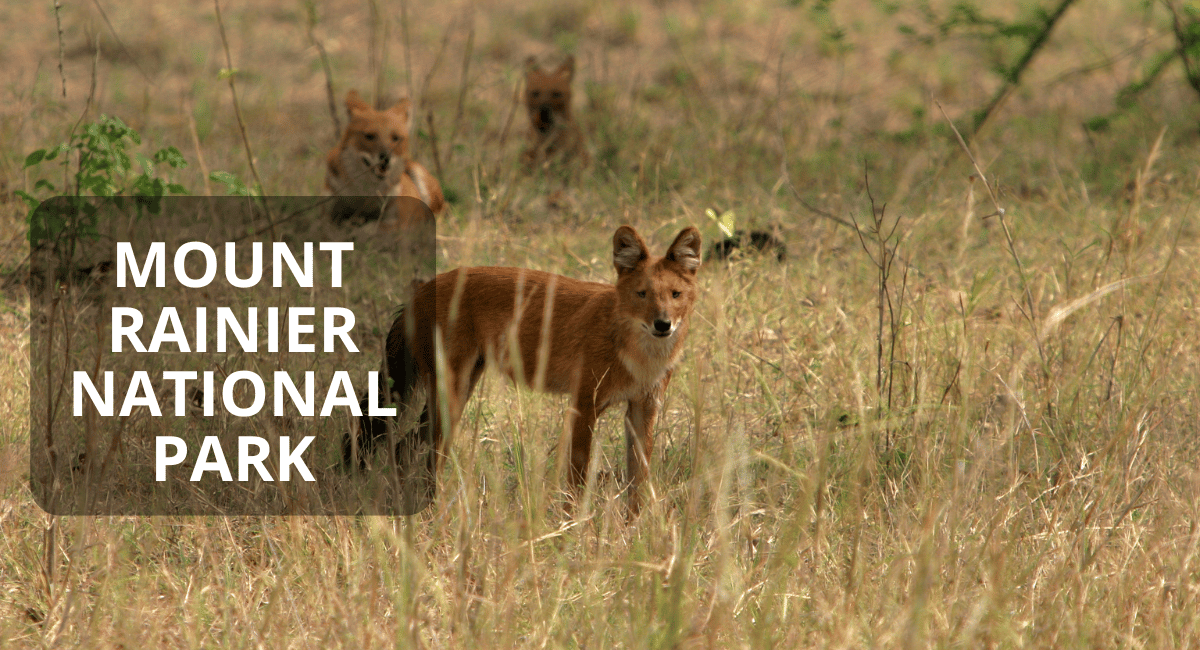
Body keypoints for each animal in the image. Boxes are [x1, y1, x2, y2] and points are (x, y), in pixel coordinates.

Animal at [324, 89, 446, 229]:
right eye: (369, 136)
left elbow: (370, 227)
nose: (386, 157)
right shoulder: (325, 214)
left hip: (419, 173)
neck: (365, 191)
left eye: (395, 138)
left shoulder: (399, 220)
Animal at [345, 226, 700, 518]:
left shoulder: (643, 408)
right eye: (642, 294)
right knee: (421, 453)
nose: (663, 324)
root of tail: (422, 288)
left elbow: (639, 478)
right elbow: (577, 478)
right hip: (449, 395)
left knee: (404, 447)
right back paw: (432, 512)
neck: (637, 353)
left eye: (675, 295)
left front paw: (634, 531)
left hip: (458, 392)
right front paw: (572, 530)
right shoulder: (584, 405)